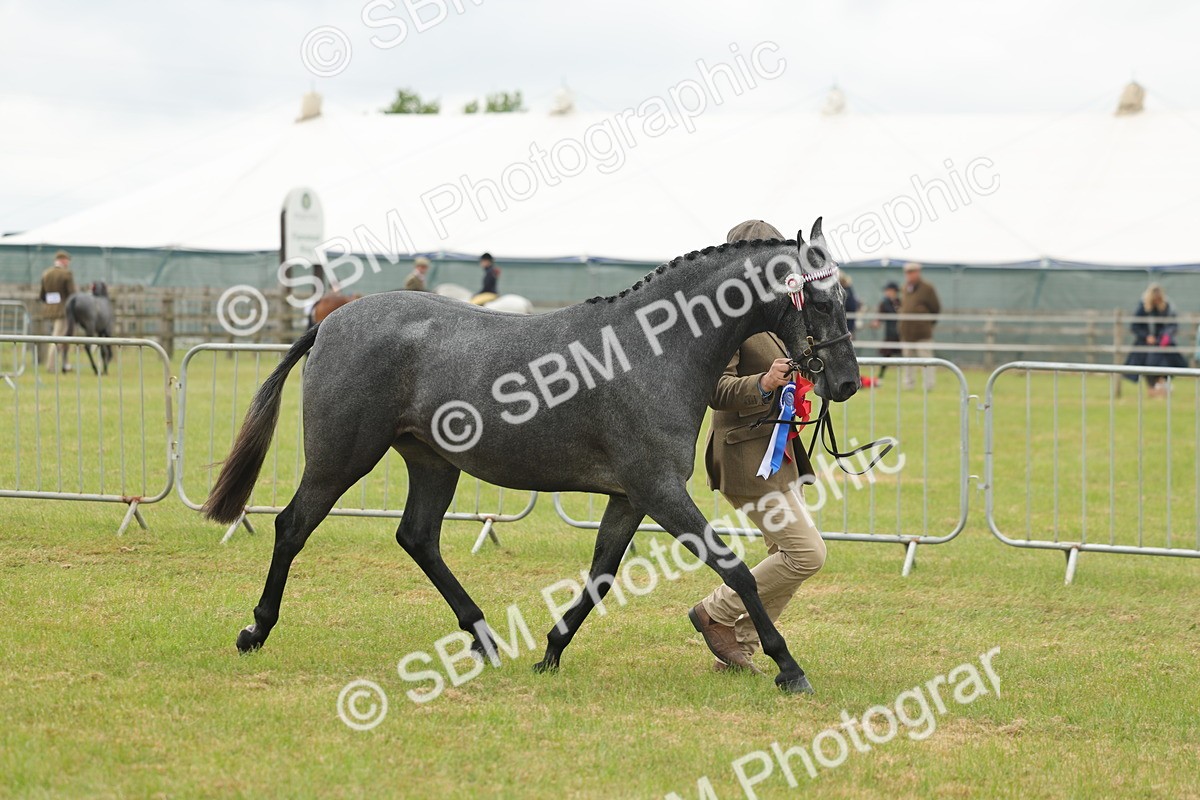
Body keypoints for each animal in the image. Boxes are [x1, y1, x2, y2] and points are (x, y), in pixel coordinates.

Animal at [203, 219, 859, 693]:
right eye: (821, 301)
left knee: (417, 537)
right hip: (341, 459)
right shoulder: (660, 490)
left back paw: (484, 638)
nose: (848, 382)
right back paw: (255, 630)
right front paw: (788, 667)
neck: (653, 348)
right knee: (293, 526)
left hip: (433, 463)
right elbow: (736, 571)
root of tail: (332, 319)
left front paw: (550, 652)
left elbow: (600, 577)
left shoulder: (630, 497)